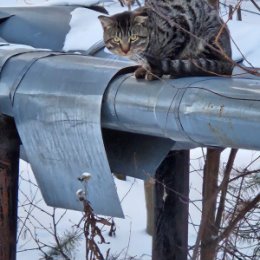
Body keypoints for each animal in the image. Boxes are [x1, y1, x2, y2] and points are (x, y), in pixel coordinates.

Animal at [98, 0, 233, 80]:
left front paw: (155, 72)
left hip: (207, 39)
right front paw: (144, 69)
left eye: (133, 37)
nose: (125, 50)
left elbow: (168, 55)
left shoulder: (181, 28)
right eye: (116, 39)